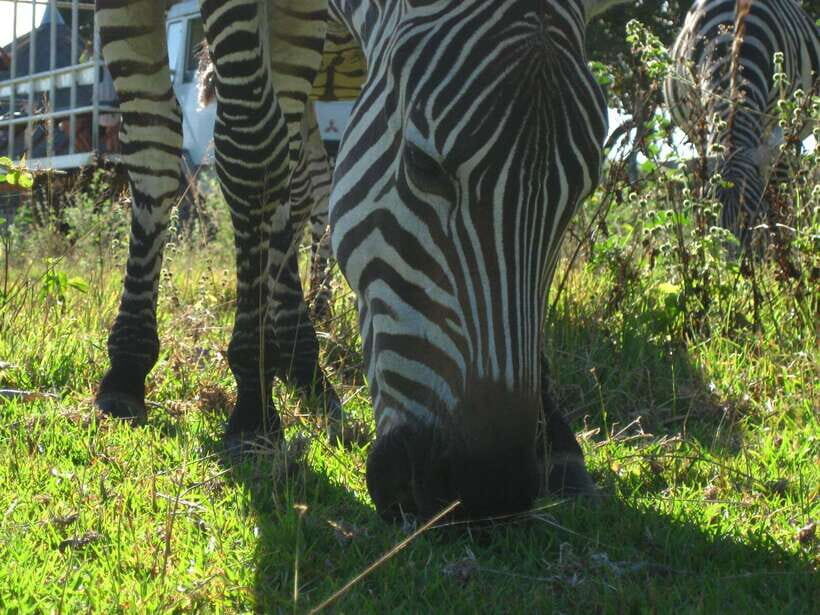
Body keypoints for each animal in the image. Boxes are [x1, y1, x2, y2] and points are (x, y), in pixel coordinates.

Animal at [95, 0, 623, 520]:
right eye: (423, 166)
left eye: (582, 193)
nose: (489, 489)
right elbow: (233, 150)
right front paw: (245, 408)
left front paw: (557, 440)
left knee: (295, 171)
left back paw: (304, 363)